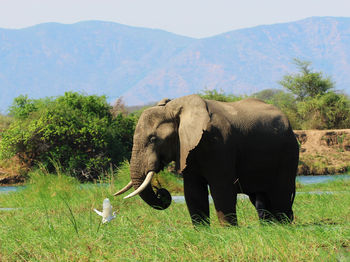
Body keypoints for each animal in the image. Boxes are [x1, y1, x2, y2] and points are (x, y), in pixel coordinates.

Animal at [114, 95, 298, 226]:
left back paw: (284, 225)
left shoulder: (219, 142)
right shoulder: (186, 148)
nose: (160, 190)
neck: (174, 109)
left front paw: (229, 230)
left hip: (288, 152)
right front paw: (202, 231)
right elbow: (192, 190)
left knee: (280, 193)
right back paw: (269, 226)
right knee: (260, 197)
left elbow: (221, 188)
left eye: (153, 139)